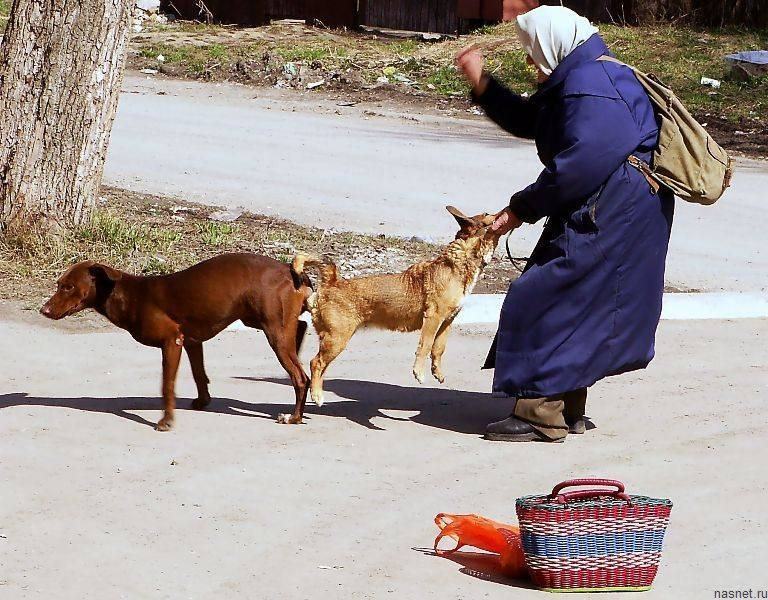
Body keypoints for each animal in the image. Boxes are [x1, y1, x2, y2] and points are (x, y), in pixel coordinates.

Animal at [40, 253, 312, 432]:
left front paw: (166, 421)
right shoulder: (191, 341)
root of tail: (290, 270)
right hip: (260, 320)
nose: (44, 310)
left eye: (69, 287)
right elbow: (199, 374)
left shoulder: (172, 341)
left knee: (301, 377)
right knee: (300, 326)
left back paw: (294, 417)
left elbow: (167, 385)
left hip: (273, 331)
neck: (128, 295)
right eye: (58, 285)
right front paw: (203, 401)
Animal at [290, 207, 504, 412]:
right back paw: (316, 395)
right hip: (337, 339)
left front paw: (437, 372)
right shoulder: (433, 318)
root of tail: (332, 283)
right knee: (316, 363)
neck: (459, 262)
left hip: (333, 340)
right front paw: (419, 372)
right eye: (487, 214)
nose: (506, 209)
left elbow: (438, 349)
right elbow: (425, 346)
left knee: (320, 366)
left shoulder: (447, 321)